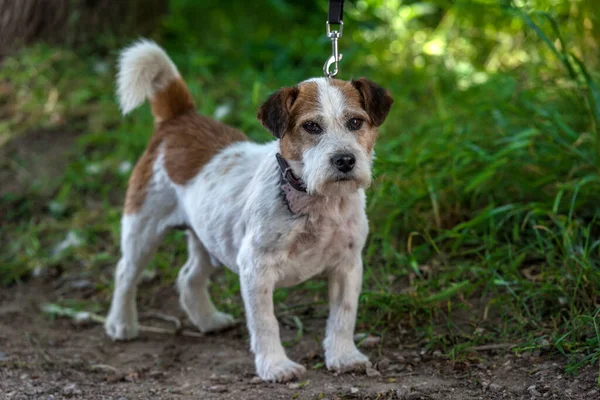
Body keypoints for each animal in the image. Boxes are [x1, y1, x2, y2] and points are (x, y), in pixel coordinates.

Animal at [105, 39, 392, 382]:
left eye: (355, 122)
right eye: (311, 126)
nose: (345, 160)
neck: (317, 201)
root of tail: (180, 118)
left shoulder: (347, 266)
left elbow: (343, 316)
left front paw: (344, 356)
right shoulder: (256, 268)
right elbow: (266, 323)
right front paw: (275, 365)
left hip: (209, 237)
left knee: (188, 277)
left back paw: (208, 320)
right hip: (143, 230)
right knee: (125, 272)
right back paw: (121, 324)